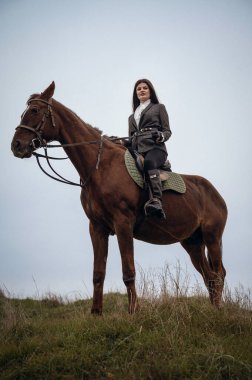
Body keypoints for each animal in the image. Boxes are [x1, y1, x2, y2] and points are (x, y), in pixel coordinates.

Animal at [11, 81, 228, 314]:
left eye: (34, 110)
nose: (16, 145)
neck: (100, 166)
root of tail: (216, 194)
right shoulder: (97, 227)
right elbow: (98, 274)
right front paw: (96, 313)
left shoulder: (123, 224)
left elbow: (128, 271)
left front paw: (133, 312)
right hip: (192, 242)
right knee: (209, 276)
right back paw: (213, 310)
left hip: (212, 237)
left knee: (217, 274)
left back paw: (219, 312)